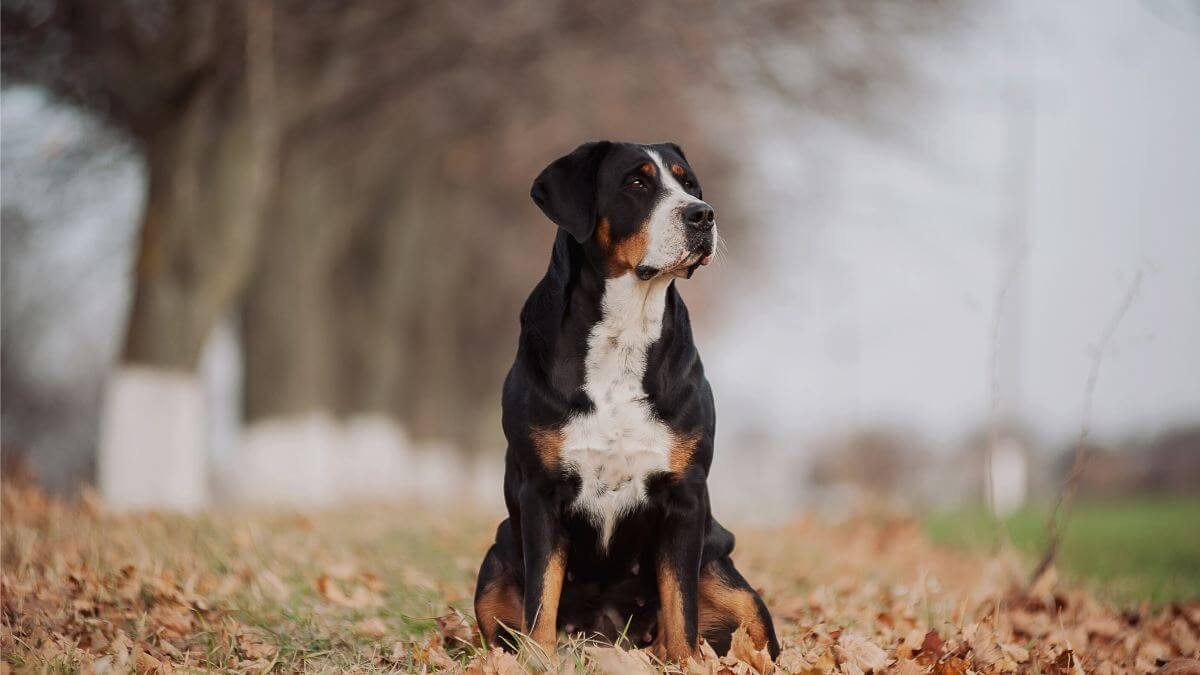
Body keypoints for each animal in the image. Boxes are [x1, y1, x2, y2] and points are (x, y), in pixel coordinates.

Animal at [468, 139, 777, 658]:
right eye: (636, 182)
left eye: (690, 184)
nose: (702, 214)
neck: (625, 331)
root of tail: (609, 635)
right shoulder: (540, 491)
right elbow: (541, 600)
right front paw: (539, 661)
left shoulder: (685, 495)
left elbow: (681, 609)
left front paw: (687, 663)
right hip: (495, 560)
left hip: (728, 577)